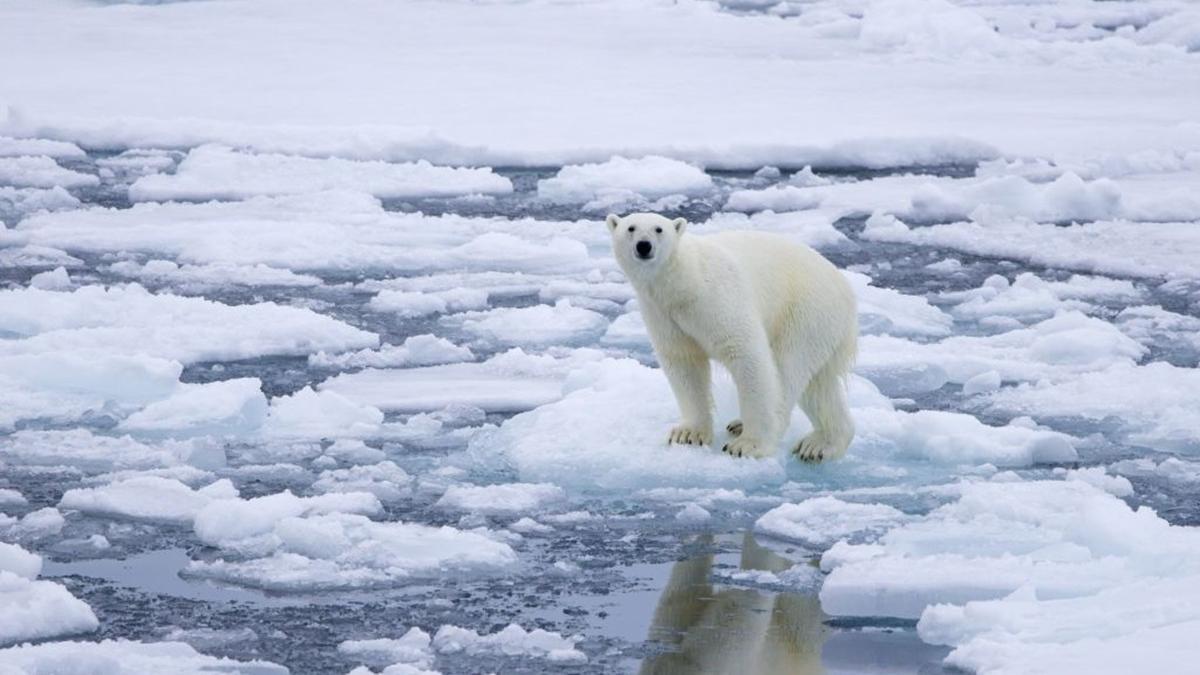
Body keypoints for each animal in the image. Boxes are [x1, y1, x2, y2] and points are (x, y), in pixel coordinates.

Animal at [604, 212, 859, 458]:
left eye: (659, 229)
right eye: (631, 228)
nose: (644, 245)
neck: (684, 283)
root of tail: (845, 289)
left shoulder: (718, 298)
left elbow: (747, 354)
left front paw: (748, 445)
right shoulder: (662, 314)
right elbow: (684, 363)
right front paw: (688, 434)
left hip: (805, 311)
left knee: (788, 368)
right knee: (818, 386)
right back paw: (819, 445)